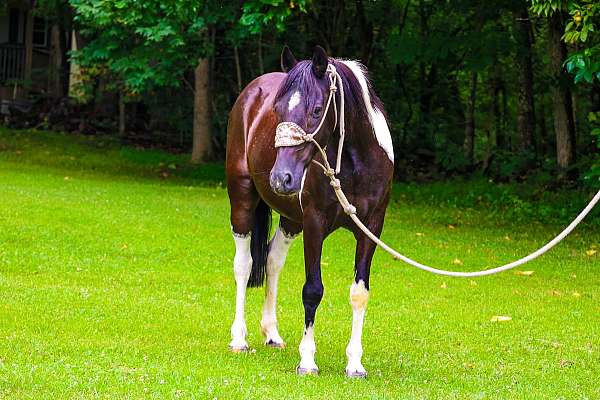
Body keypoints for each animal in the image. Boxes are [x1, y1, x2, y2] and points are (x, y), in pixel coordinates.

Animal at [225, 45, 394, 376]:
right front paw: (307, 360)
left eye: (317, 110)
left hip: (292, 219)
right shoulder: (315, 223)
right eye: (277, 111)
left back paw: (272, 333)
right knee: (245, 264)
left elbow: (359, 293)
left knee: (272, 260)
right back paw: (239, 338)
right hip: (241, 200)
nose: (281, 178)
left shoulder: (371, 228)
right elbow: (312, 290)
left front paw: (355, 364)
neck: (355, 163)